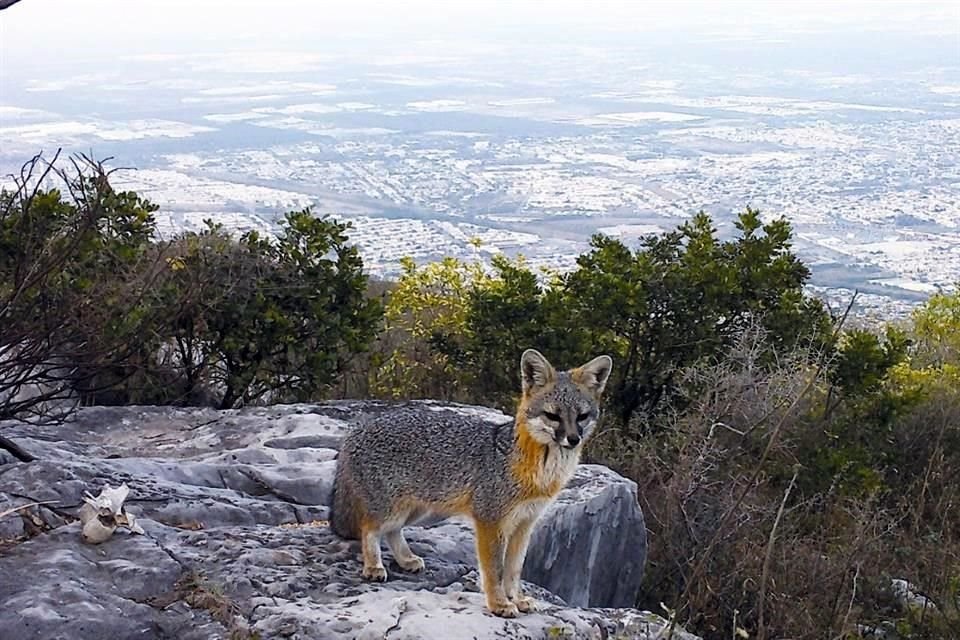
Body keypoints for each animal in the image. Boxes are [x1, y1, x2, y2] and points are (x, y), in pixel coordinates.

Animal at [334, 348, 612, 616]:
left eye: (582, 416)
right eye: (553, 416)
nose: (573, 439)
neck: (539, 472)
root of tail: (357, 428)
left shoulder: (525, 523)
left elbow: (513, 570)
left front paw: (517, 599)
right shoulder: (490, 521)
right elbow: (494, 570)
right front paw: (499, 604)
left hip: (417, 510)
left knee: (392, 531)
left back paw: (406, 559)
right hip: (391, 509)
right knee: (369, 529)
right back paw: (374, 566)